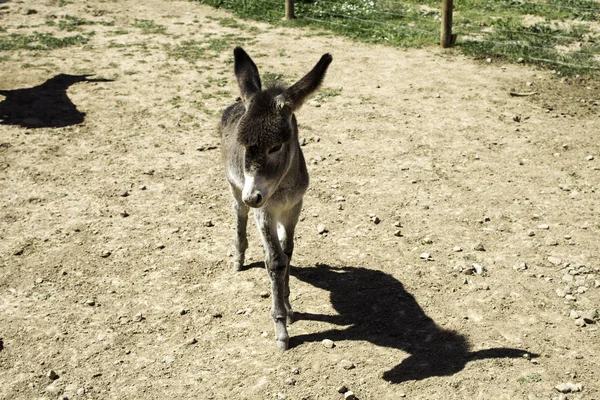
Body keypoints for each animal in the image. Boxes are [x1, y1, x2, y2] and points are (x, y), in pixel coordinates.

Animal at [220, 47, 332, 350]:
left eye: (276, 146)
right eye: (243, 144)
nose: (253, 196)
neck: (281, 187)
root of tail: (238, 101)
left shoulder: (294, 206)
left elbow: (288, 251)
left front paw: (289, 304)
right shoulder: (265, 210)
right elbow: (275, 260)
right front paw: (281, 326)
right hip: (234, 186)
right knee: (238, 213)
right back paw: (239, 258)